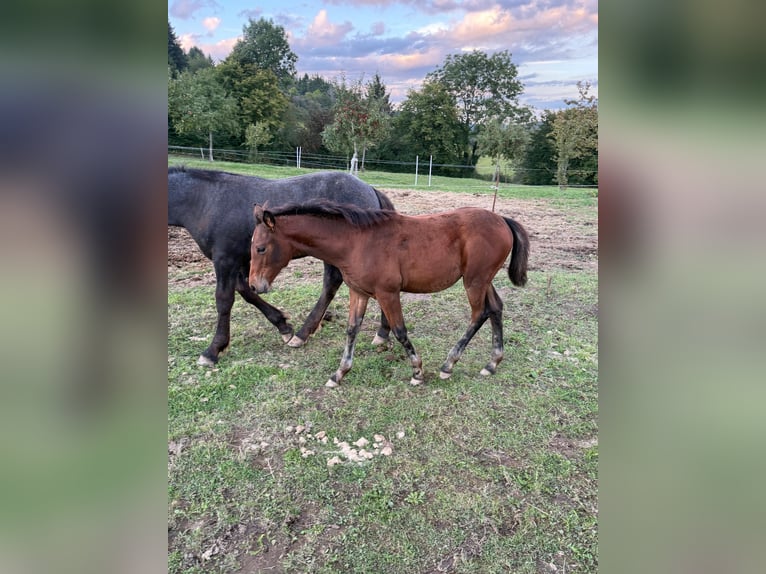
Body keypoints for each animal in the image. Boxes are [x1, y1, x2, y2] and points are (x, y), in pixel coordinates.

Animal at [168, 167, 395, 366]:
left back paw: (304, 334)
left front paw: (213, 350)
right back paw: (382, 332)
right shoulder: (241, 261)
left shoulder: (225, 259)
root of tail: (370, 189)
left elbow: (224, 300)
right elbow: (246, 290)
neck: (206, 201)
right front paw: (283, 325)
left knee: (334, 283)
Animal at [248, 201, 529, 387]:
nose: (254, 286)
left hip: (474, 281)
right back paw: (492, 363)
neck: (355, 242)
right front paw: (339, 374)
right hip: (483, 280)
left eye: (261, 248)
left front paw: (417, 372)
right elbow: (351, 330)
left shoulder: (388, 293)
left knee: (479, 314)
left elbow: (399, 330)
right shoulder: (358, 292)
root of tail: (502, 220)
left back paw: (449, 365)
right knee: (495, 308)